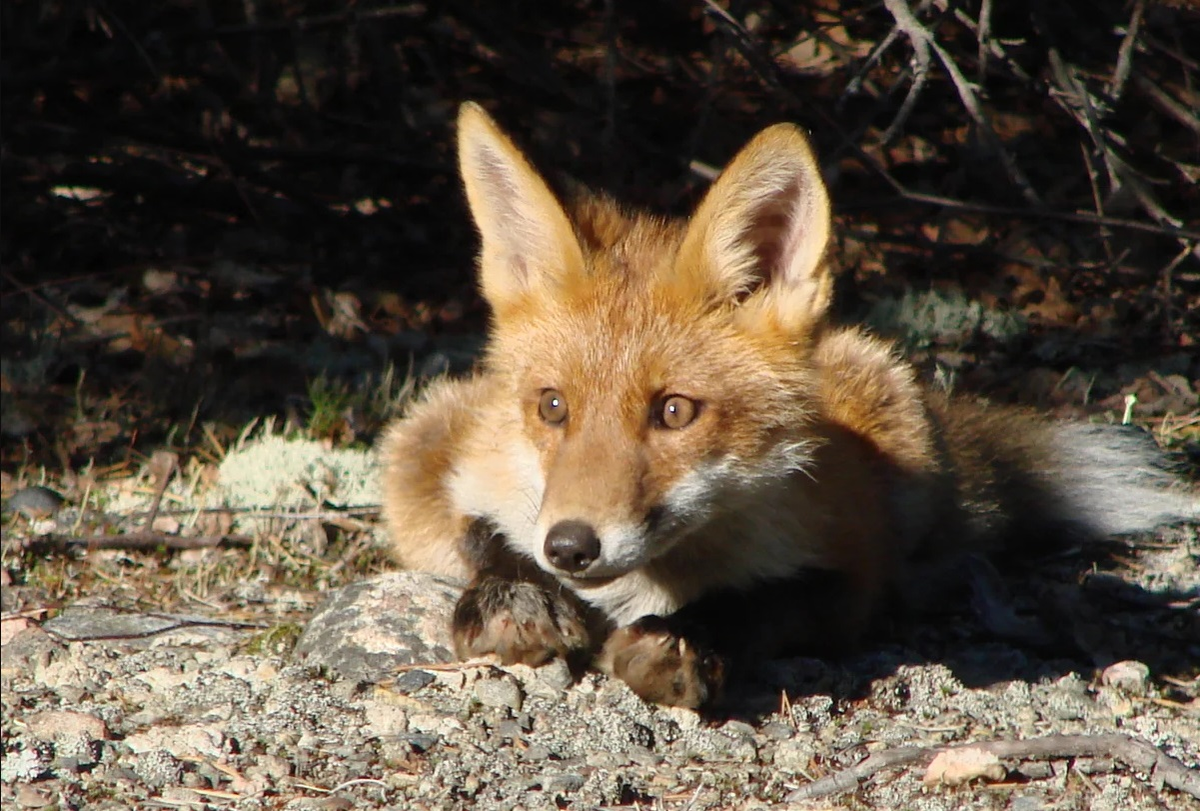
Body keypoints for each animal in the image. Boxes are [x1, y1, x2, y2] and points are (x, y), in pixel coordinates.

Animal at [379, 103, 1195, 710]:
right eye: (552, 406)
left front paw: (683, 640)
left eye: (674, 412)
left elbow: (760, 603)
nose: (571, 547)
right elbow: (483, 537)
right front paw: (517, 594)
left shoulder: (848, 574)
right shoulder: (446, 463)